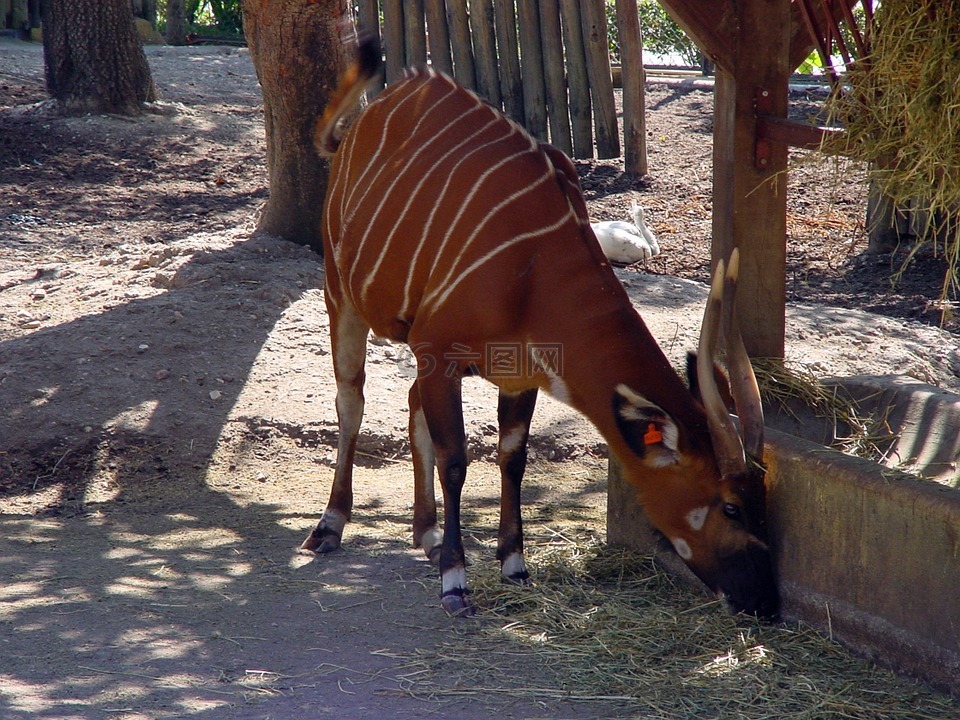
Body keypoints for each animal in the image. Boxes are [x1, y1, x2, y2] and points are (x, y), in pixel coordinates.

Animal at [302, 35, 780, 620]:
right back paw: (331, 525)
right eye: (730, 507)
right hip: (340, 294)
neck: (535, 268)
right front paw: (456, 582)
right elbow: (457, 460)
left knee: (411, 404)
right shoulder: (439, 354)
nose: (765, 601)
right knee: (352, 400)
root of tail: (368, 119)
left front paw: (514, 565)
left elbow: (513, 459)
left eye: (764, 501)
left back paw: (427, 534)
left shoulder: (517, 377)